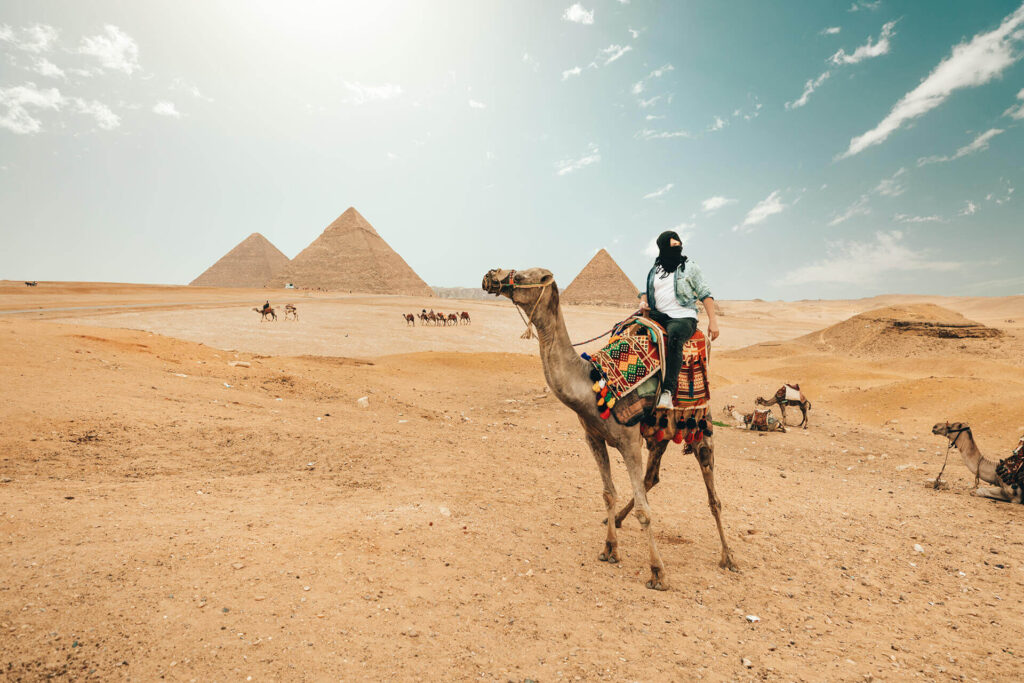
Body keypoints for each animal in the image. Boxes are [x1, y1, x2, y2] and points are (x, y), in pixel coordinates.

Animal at [483, 268, 735, 590]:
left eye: (530, 274)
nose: (491, 275)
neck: (591, 384)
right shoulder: (594, 437)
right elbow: (608, 493)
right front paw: (610, 549)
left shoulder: (628, 441)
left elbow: (644, 511)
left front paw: (658, 572)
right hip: (659, 433)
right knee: (652, 477)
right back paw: (616, 520)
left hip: (701, 426)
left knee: (713, 497)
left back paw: (729, 557)